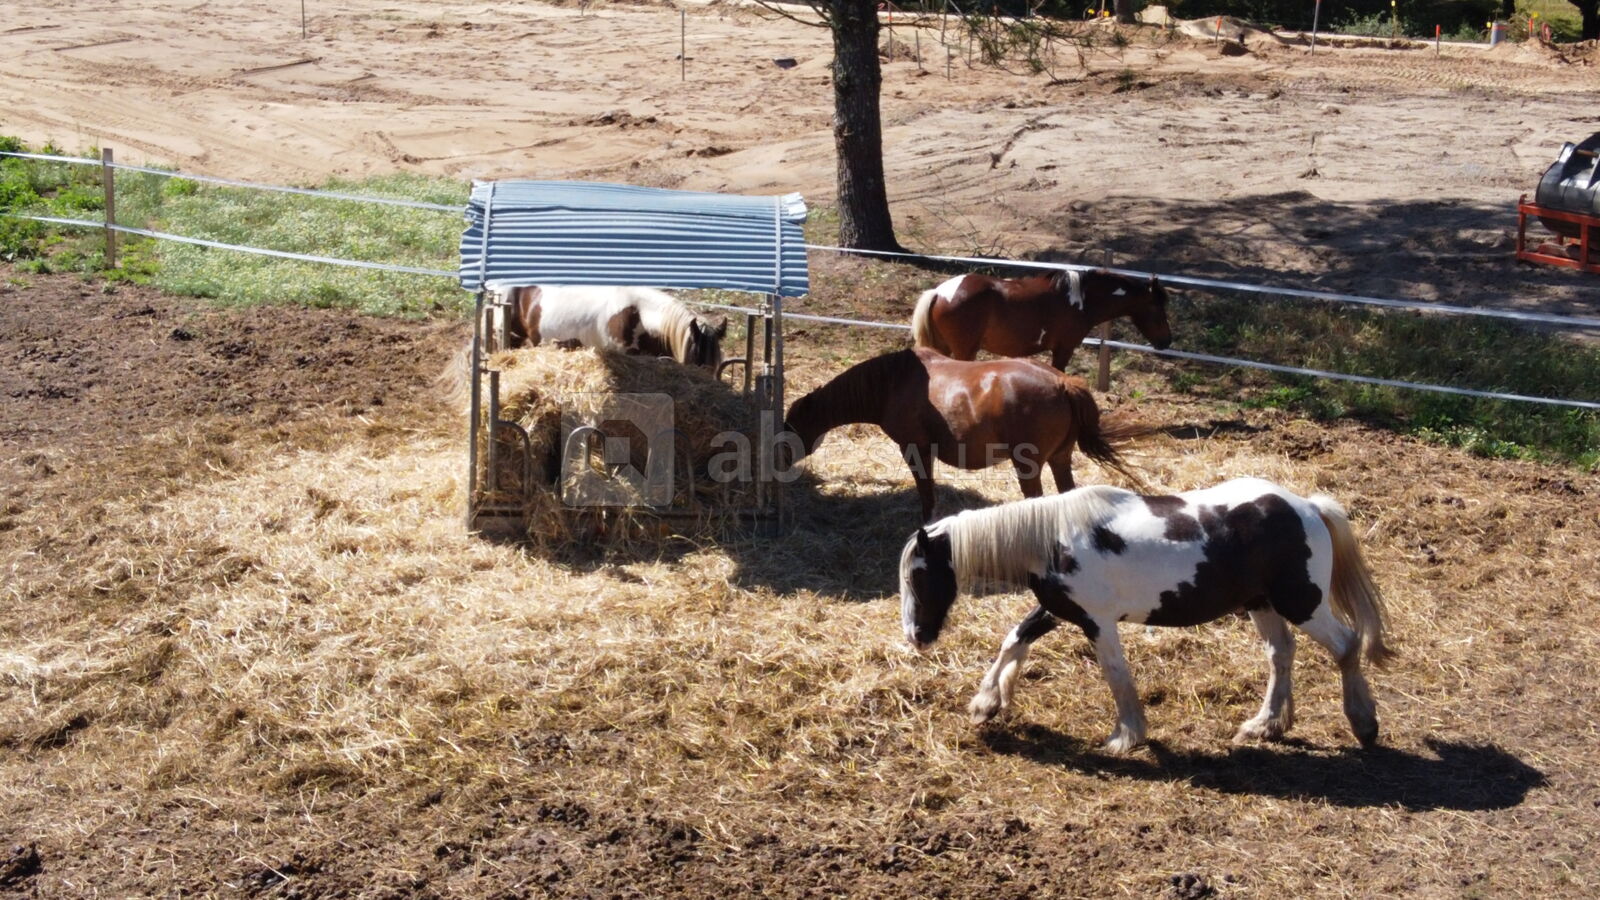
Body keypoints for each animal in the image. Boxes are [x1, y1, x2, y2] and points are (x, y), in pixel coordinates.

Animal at [782, 347, 1145, 522]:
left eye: (792, 423)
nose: (781, 460)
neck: (893, 382)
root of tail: (1063, 382)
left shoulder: (915, 449)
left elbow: (927, 494)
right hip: (1060, 459)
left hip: (1029, 466)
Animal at [898, 478, 1395, 754]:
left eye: (919, 576)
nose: (916, 635)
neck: (1051, 538)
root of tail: (1308, 507)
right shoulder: (1059, 609)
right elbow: (1014, 639)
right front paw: (986, 703)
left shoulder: (1097, 622)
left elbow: (1116, 674)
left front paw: (1126, 736)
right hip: (1262, 604)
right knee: (1281, 654)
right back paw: (1266, 725)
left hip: (1302, 603)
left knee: (1347, 644)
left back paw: (1364, 723)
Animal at [910, 268, 1173, 370]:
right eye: (1158, 308)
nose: (1167, 342)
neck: (1083, 299)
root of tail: (940, 291)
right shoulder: (1064, 349)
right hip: (965, 350)